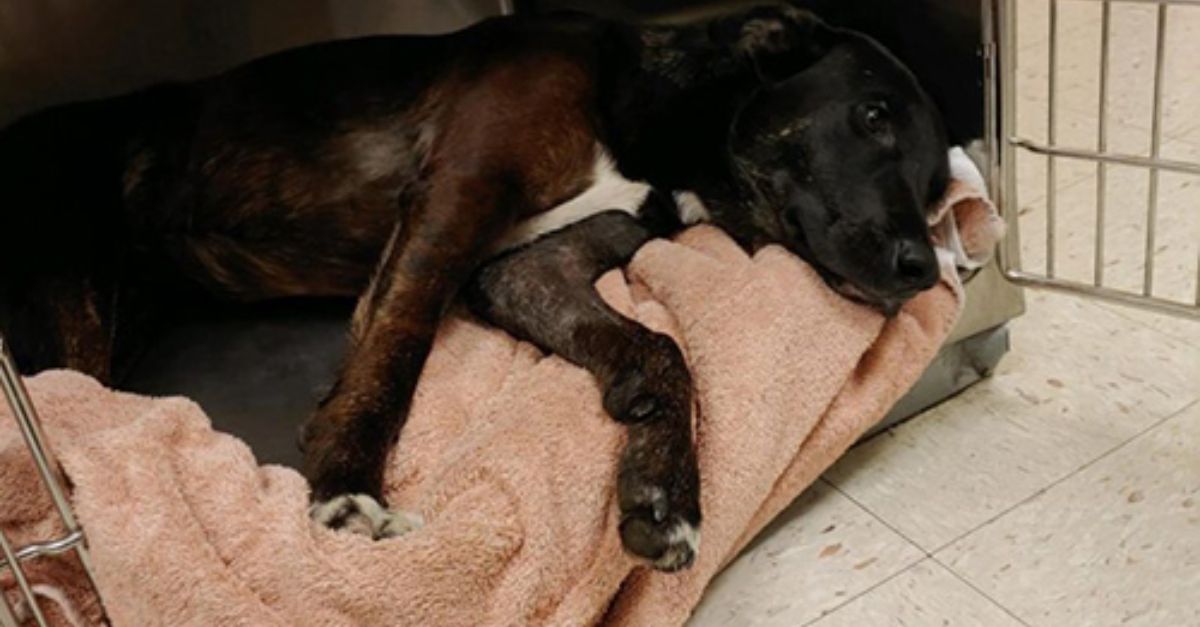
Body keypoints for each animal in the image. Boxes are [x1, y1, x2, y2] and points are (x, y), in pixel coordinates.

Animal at [0, 4, 945, 569]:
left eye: (936, 183)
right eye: (870, 116)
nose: (924, 268)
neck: (646, 113)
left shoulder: (524, 267)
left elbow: (661, 347)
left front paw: (665, 489)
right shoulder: (460, 194)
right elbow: (394, 351)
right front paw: (347, 485)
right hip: (58, 316)